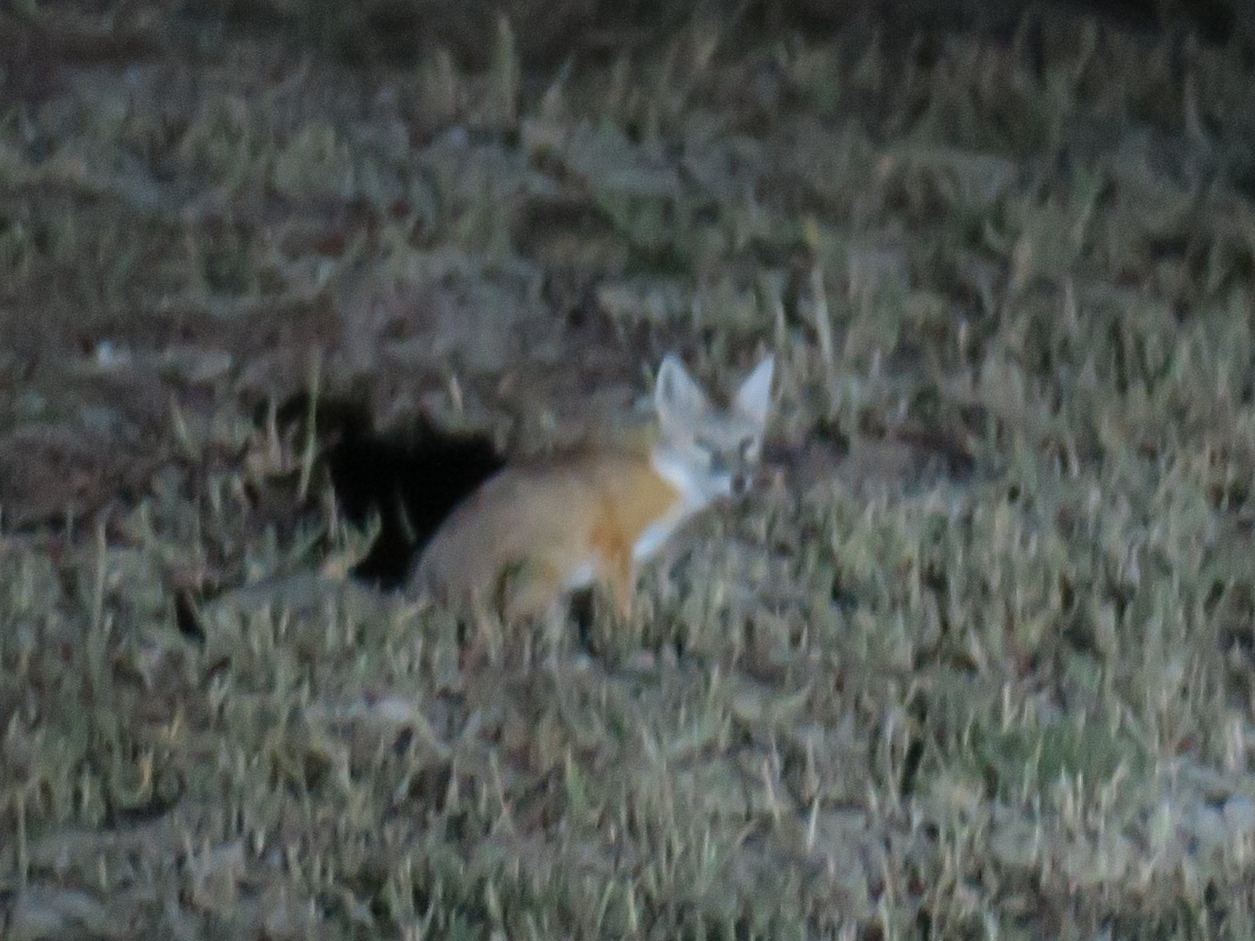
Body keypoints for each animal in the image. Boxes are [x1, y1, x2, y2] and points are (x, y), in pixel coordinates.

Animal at [407, 352, 776, 624]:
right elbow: (624, 608)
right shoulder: (615, 546)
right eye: (704, 444)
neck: (666, 477)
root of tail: (424, 575)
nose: (739, 481)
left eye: (747, 444)